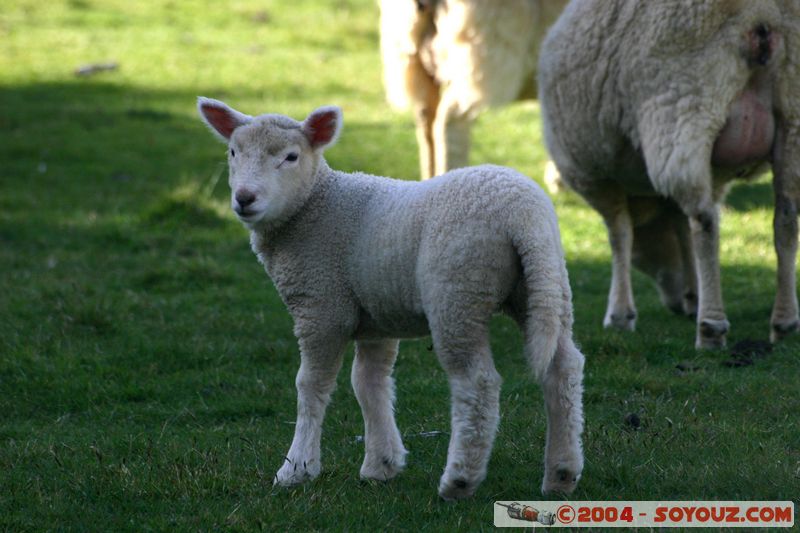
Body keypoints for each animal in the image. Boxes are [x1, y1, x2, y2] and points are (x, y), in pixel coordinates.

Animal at [194, 96, 580, 498]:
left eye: (290, 157)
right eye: (233, 152)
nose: (244, 198)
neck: (315, 206)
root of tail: (522, 214)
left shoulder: (321, 307)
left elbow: (311, 385)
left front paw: (296, 468)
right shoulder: (376, 315)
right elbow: (369, 382)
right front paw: (381, 464)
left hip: (457, 291)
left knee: (477, 382)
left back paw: (459, 479)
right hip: (546, 284)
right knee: (563, 368)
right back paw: (561, 473)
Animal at [536, 1, 800, 350]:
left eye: (642, 257)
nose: (676, 302)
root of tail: (763, 14)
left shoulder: (595, 177)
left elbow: (619, 234)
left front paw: (620, 315)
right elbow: (681, 227)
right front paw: (693, 293)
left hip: (684, 106)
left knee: (706, 222)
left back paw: (710, 327)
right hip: (792, 115)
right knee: (786, 217)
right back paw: (784, 323)